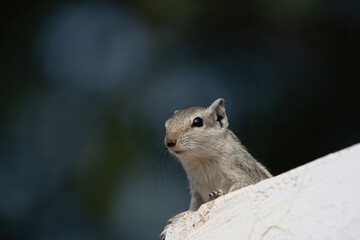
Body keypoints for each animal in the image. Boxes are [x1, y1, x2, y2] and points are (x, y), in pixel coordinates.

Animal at [160, 98, 270, 240]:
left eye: (197, 122)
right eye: (166, 125)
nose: (169, 141)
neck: (201, 159)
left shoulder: (242, 169)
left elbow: (245, 183)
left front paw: (219, 194)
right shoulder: (197, 190)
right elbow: (194, 208)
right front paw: (172, 222)